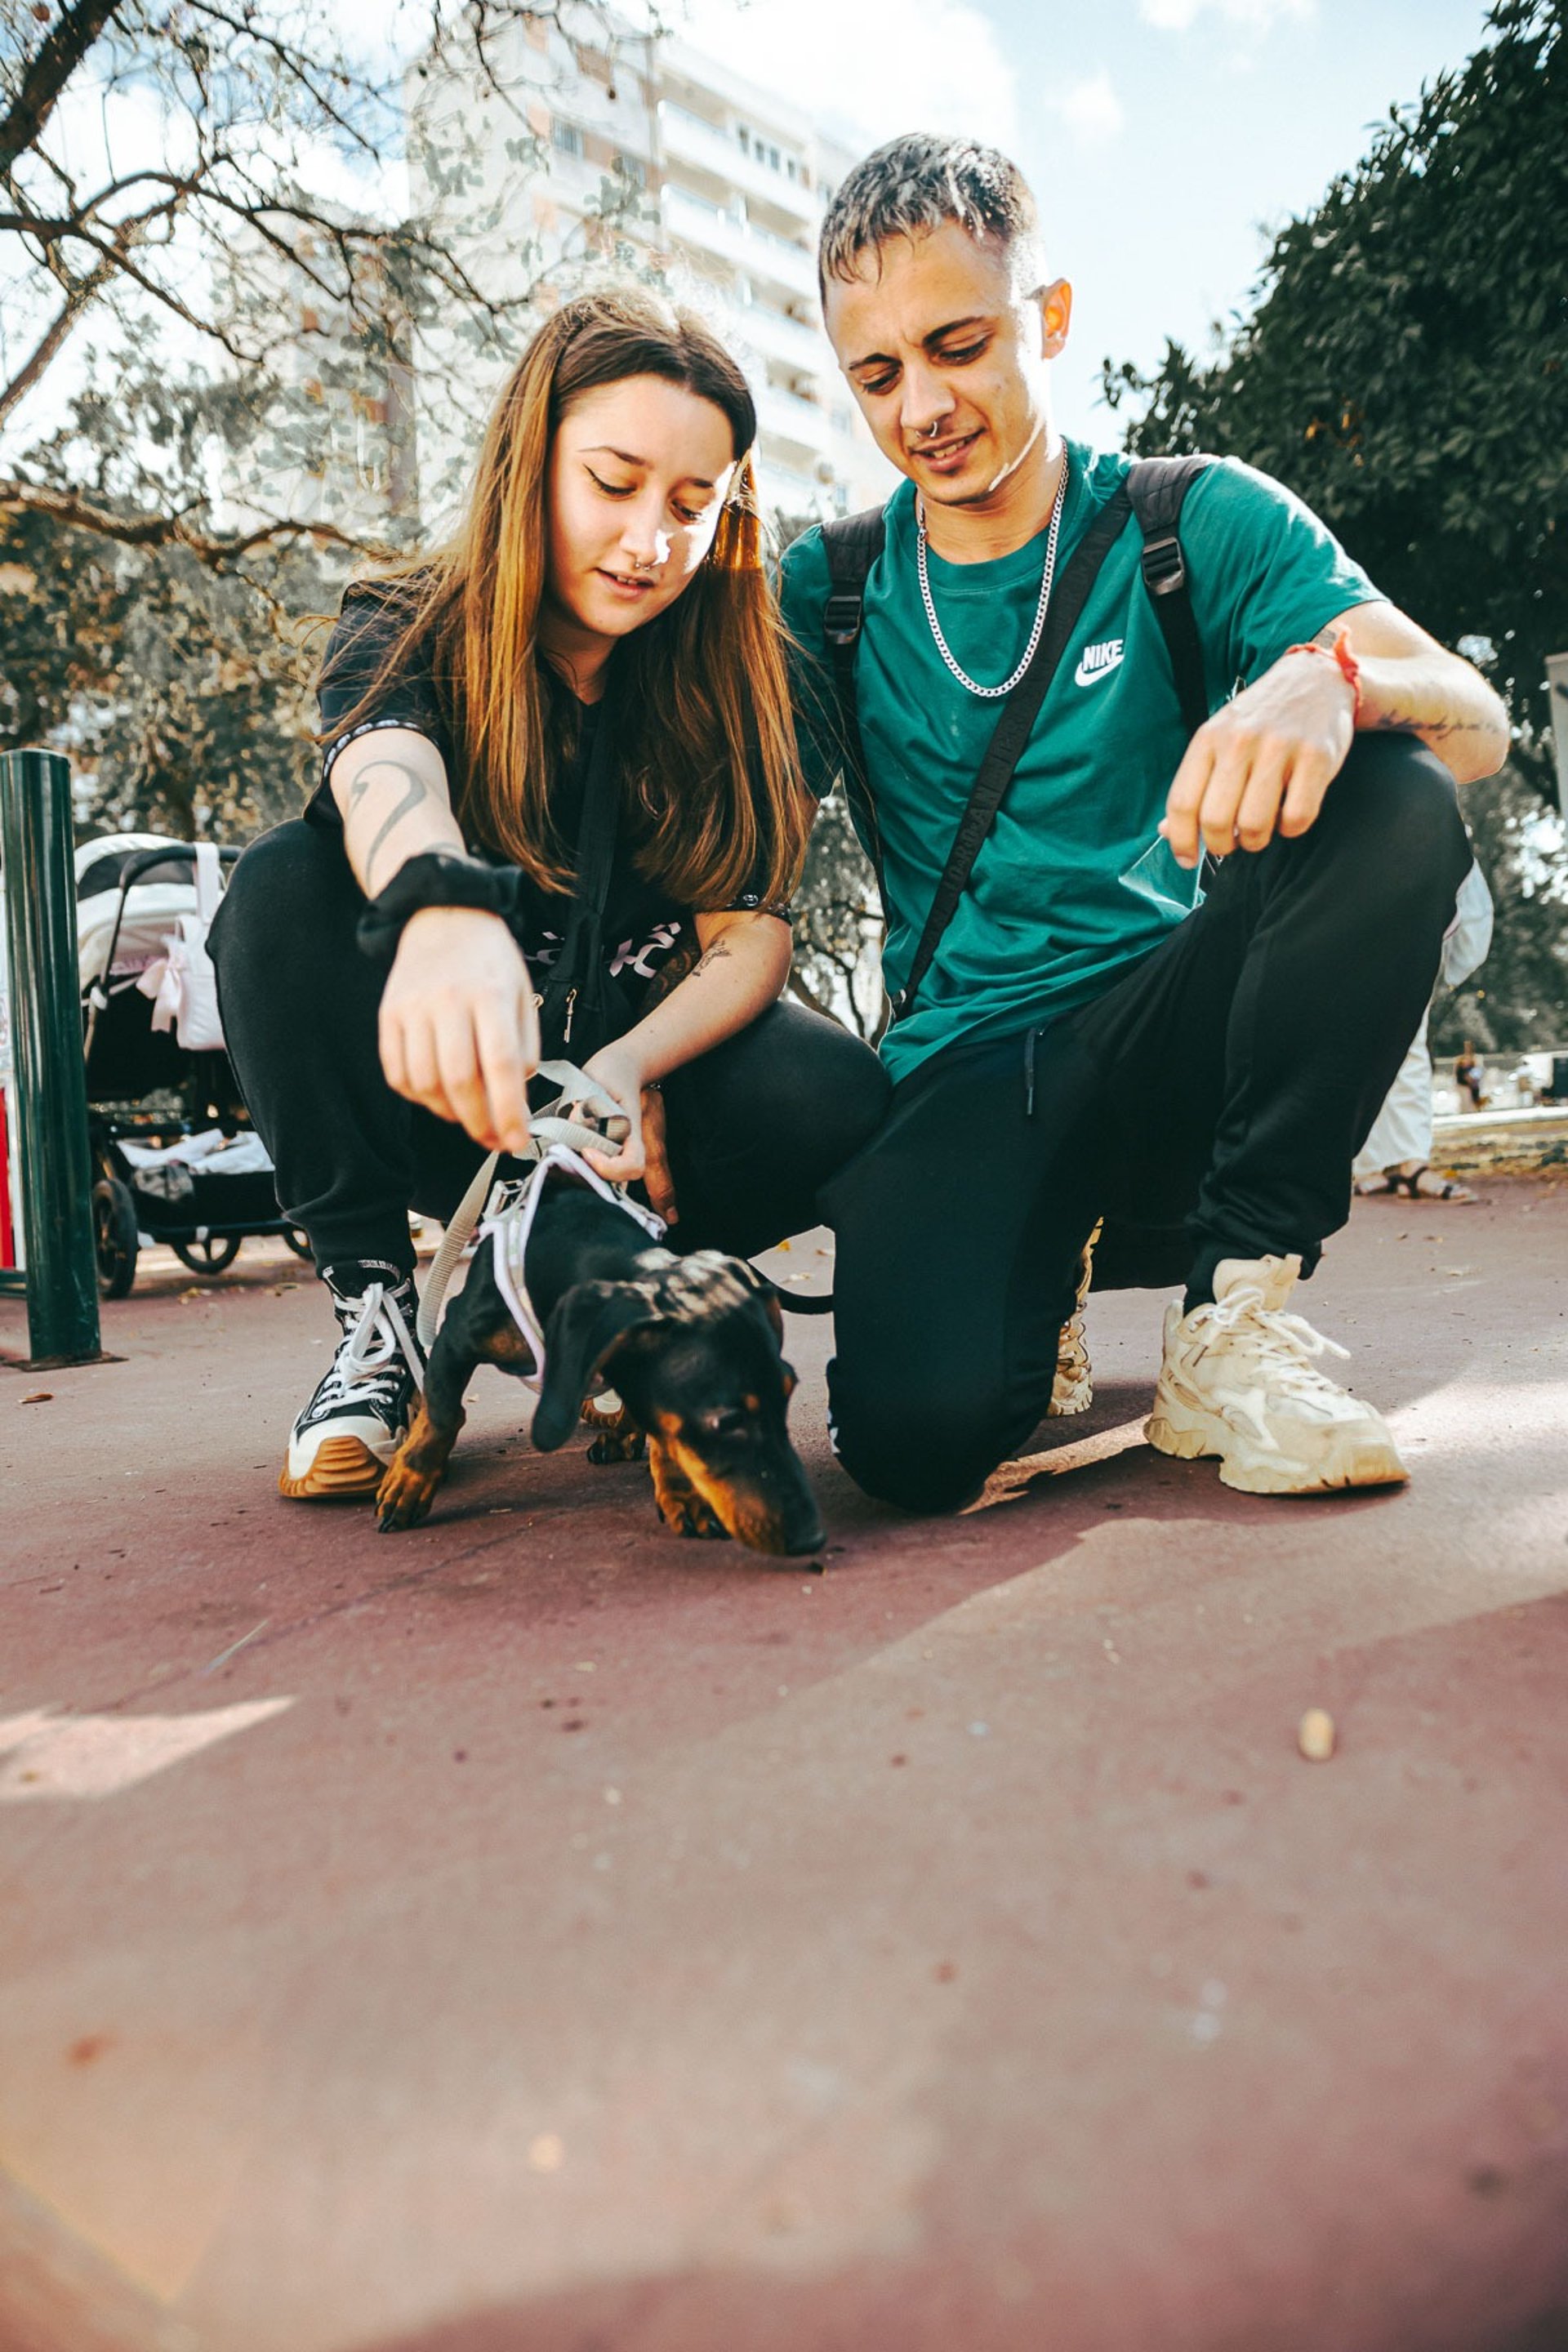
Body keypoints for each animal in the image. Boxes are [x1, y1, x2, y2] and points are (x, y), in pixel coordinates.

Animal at [374, 1168, 825, 1557]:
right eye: (728, 1422)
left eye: (786, 1398)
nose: (813, 1538)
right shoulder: (456, 1334)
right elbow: (443, 1414)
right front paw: (409, 1484)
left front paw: (682, 1494)